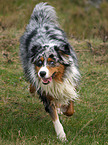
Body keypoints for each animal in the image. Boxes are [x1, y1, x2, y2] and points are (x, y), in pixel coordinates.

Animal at [19, 1, 79, 140]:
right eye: (39, 62)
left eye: (52, 62)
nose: (42, 73)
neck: (56, 80)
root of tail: (40, 21)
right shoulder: (45, 94)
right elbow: (54, 116)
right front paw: (61, 136)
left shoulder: (70, 84)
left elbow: (70, 108)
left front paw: (64, 109)